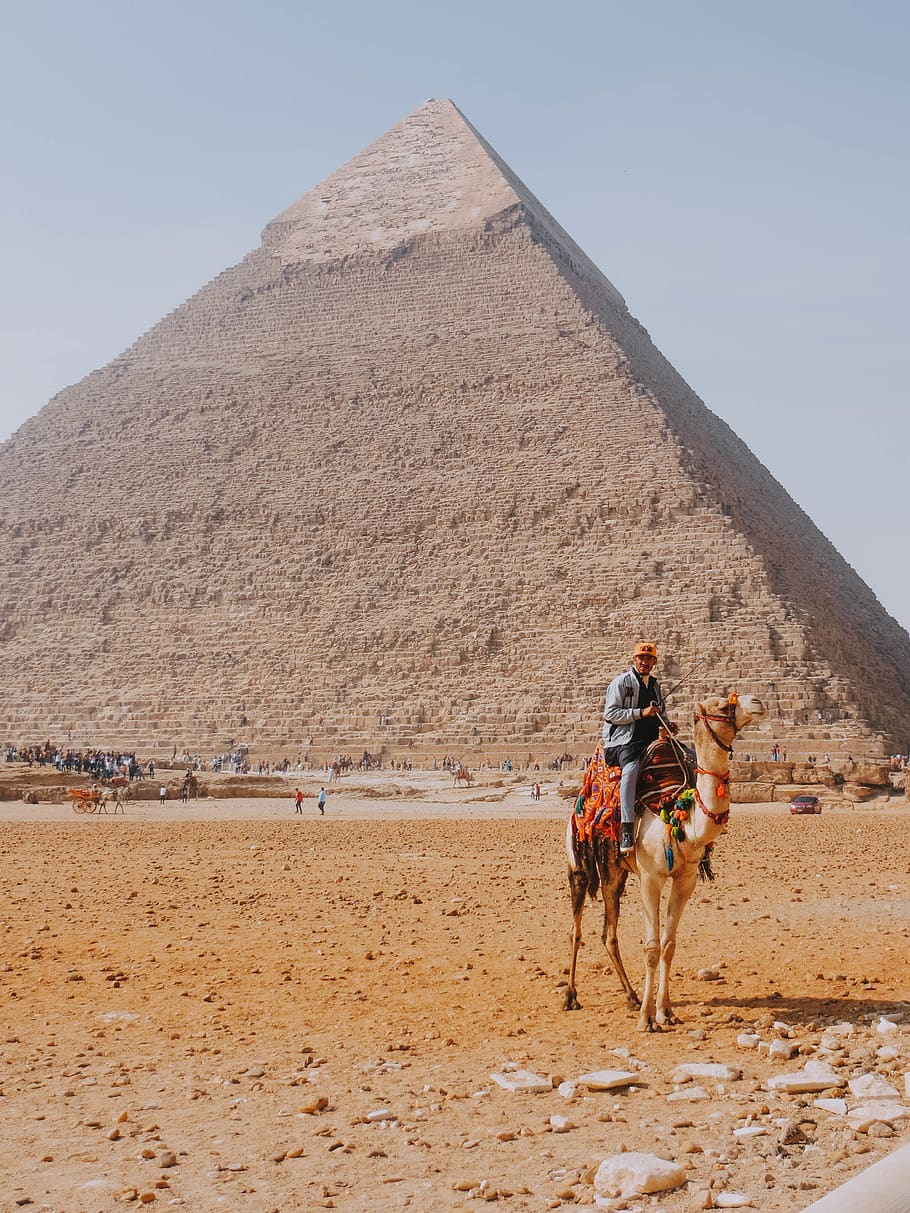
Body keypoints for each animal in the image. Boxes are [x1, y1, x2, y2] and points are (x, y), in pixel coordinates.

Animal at [567, 698, 766, 1028]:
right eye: (721, 705)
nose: (759, 703)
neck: (679, 815)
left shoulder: (686, 879)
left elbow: (669, 944)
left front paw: (665, 1010)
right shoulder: (650, 877)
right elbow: (652, 946)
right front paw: (648, 1019)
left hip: (614, 873)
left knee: (609, 933)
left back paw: (631, 996)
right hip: (578, 864)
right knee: (577, 930)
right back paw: (571, 996)